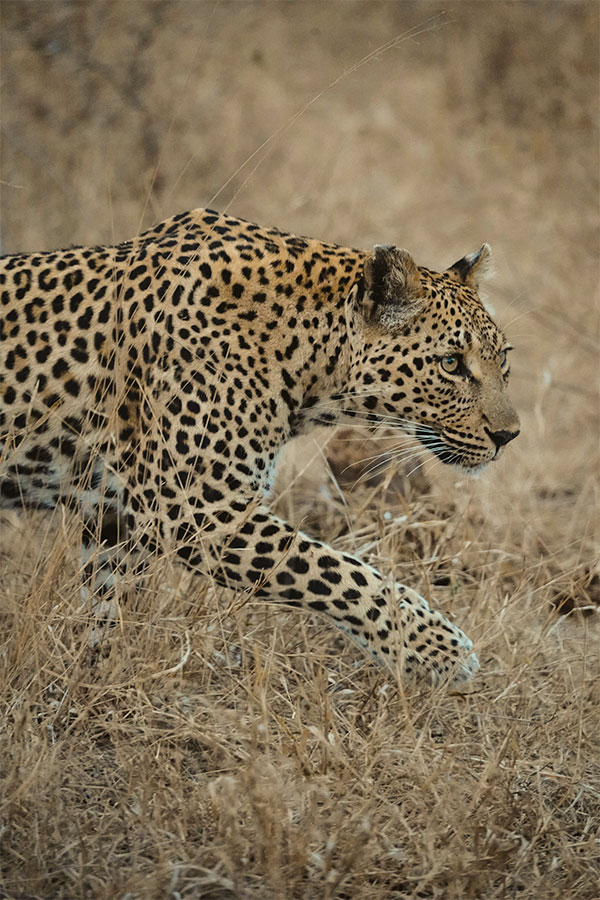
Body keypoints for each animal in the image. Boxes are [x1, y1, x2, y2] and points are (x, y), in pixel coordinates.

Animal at [0, 211, 520, 684]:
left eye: (503, 359)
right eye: (451, 363)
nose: (509, 435)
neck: (309, 362)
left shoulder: (115, 522)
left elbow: (105, 612)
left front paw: (93, 680)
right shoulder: (197, 509)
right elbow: (334, 570)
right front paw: (439, 648)